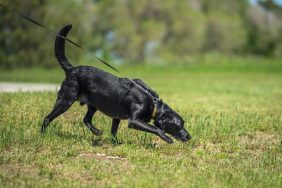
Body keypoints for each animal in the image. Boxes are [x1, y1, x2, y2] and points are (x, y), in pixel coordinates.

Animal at [41, 24, 192, 143]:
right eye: (179, 125)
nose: (189, 136)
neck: (153, 103)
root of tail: (71, 69)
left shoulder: (116, 117)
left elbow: (113, 131)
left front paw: (115, 143)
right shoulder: (134, 121)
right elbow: (155, 128)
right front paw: (167, 138)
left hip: (94, 104)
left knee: (86, 119)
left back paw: (96, 132)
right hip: (65, 101)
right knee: (47, 118)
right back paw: (42, 134)